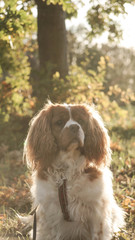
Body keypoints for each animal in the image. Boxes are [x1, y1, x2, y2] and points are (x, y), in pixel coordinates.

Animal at [24, 102, 124, 240]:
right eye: (59, 122)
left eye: (81, 121)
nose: (75, 127)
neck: (67, 170)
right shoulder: (47, 214)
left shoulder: (96, 212)